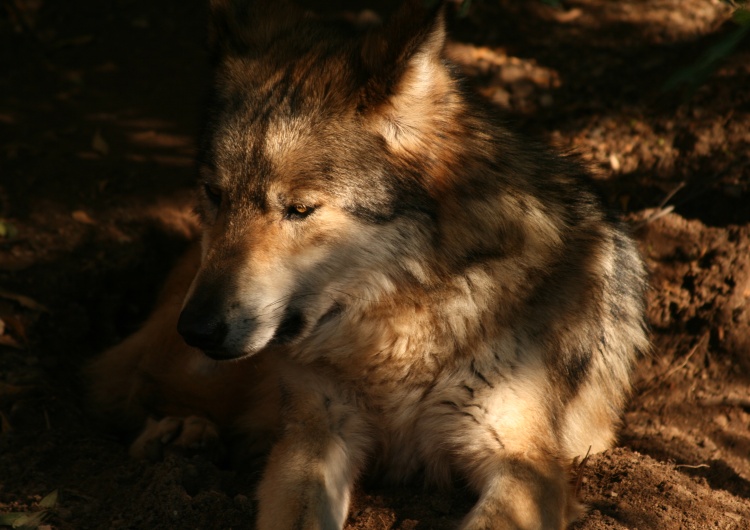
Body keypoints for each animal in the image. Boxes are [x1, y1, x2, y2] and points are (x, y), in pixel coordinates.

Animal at [89, 0, 652, 524]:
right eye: (214, 194)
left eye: (299, 209)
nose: (198, 328)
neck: (398, 318)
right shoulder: (315, 435)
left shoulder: (526, 463)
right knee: (116, 384)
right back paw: (178, 435)